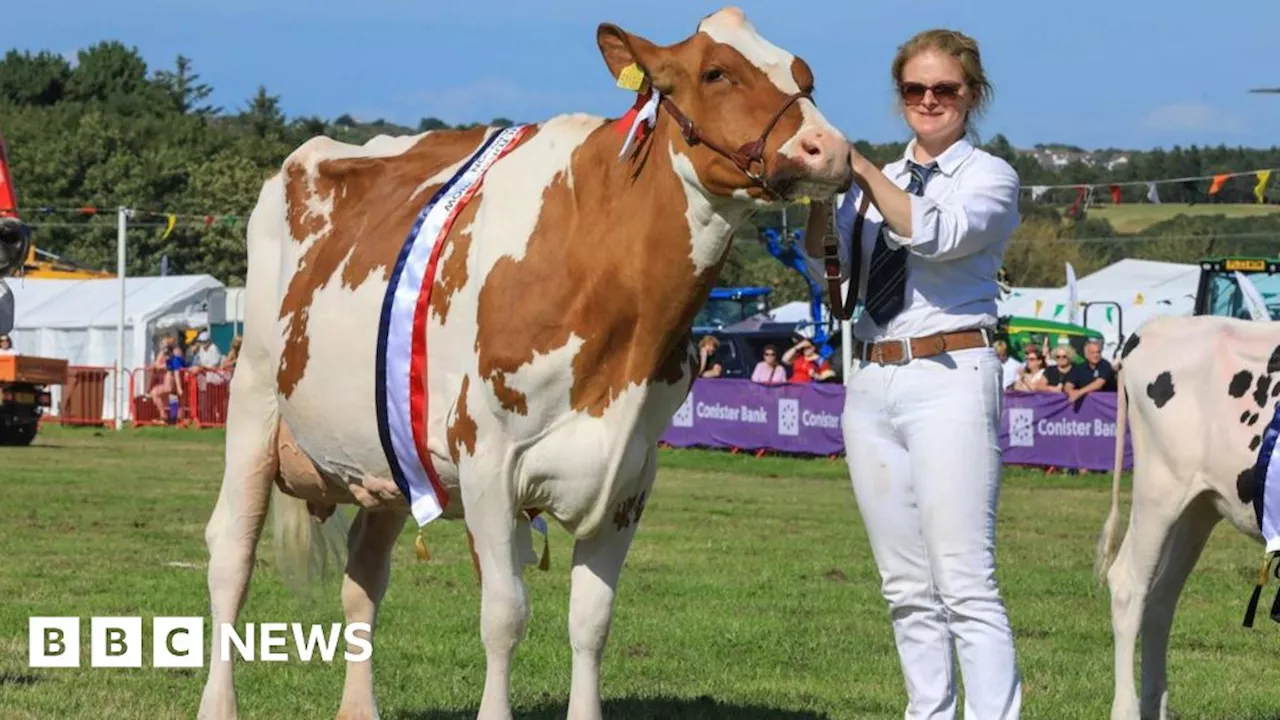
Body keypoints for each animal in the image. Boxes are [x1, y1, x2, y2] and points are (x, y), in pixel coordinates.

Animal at [197, 7, 849, 717]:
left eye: (806, 76)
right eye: (716, 73)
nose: (831, 150)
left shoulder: (630, 476)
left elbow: (592, 621)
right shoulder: (488, 460)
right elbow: (504, 616)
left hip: (384, 455)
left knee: (363, 579)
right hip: (253, 399)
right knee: (230, 555)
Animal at [1090, 313, 1280, 717]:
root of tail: (1159, 324)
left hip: (1198, 507)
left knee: (1160, 596)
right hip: (1159, 489)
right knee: (1129, 586)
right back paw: (1127, 709)